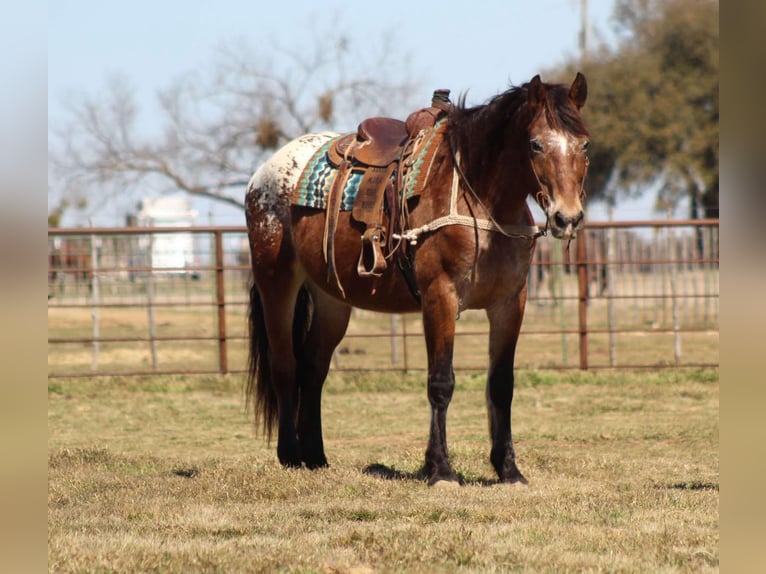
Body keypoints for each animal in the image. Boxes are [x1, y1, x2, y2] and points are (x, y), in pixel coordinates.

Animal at [245, 73, 590, 486]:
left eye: (585, 144)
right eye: (536, 144)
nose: (567, 217)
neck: (482, 201)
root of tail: (263, 172)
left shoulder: (510, 302)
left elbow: (501, 385)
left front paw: (509, 470)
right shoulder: (440, 296)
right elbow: (441, 382)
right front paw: (440, 469)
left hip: (331, 299)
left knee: (313, 368)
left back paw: (316, 456)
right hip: (276, 282)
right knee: (285, 365)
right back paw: (291, 455)